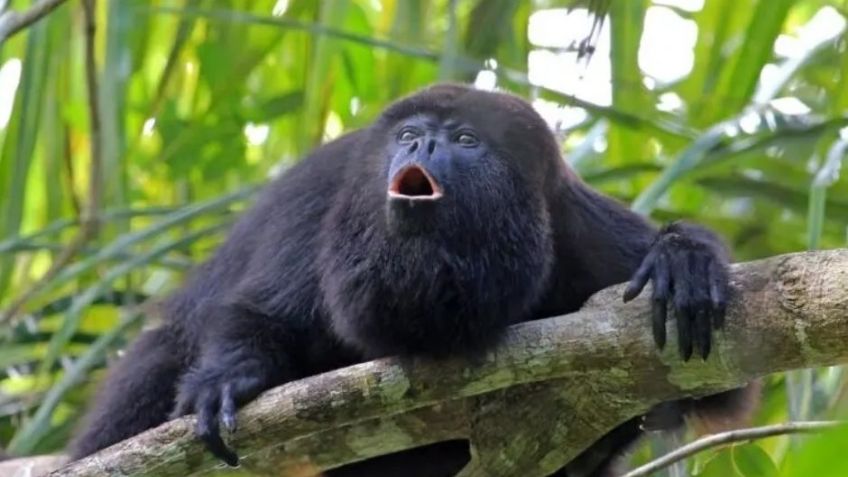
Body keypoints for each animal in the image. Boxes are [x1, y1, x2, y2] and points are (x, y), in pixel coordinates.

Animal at [69, 83, 755, 476]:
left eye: (467, 138)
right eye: (407, 134)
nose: (421, 145)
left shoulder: (577, 225)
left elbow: (715, 388)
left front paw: (682, 260)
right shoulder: (329, 195)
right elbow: (261, 313)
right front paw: (227, 379)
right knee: (158, 360)